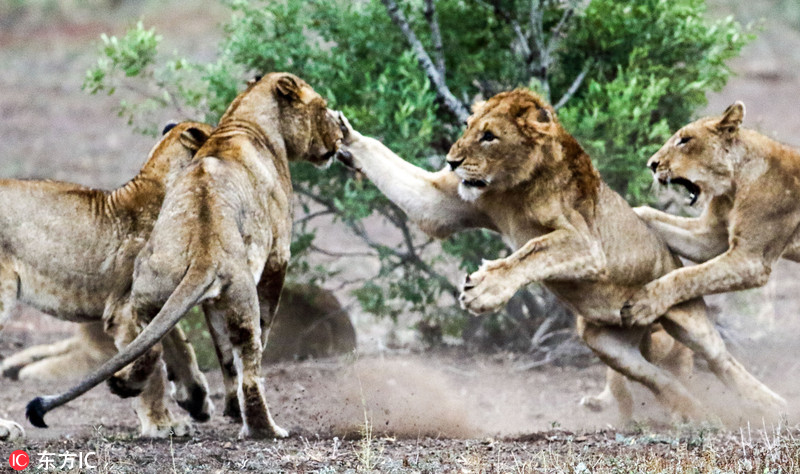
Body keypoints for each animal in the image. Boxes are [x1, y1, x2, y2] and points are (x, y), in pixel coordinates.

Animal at [0, 122, 216, 440]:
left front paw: (196, 401)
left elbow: (180, 347)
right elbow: (152, 358)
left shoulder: (162, 301)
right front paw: (160, 423)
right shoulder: (125, 310)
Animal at [24, 72, 344, 438]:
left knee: (152, 343)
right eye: (322, 107)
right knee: (248, 363)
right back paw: (266, 429)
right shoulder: (279, 255)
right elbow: (259, 333)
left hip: (147, 292)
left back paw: (126, 384)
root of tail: (205, 252)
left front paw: (230, 410)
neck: (242, 122)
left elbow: (223, 356)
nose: (340, 136)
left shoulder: (210, 302)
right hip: (239, 296)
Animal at [620, 100, 800, 330]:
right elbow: (649, 214)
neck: (732, 189)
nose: (651, 164)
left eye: (684, 140)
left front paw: (644, 304)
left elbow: (689, 276)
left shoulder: (752, 260)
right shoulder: (709, 239)